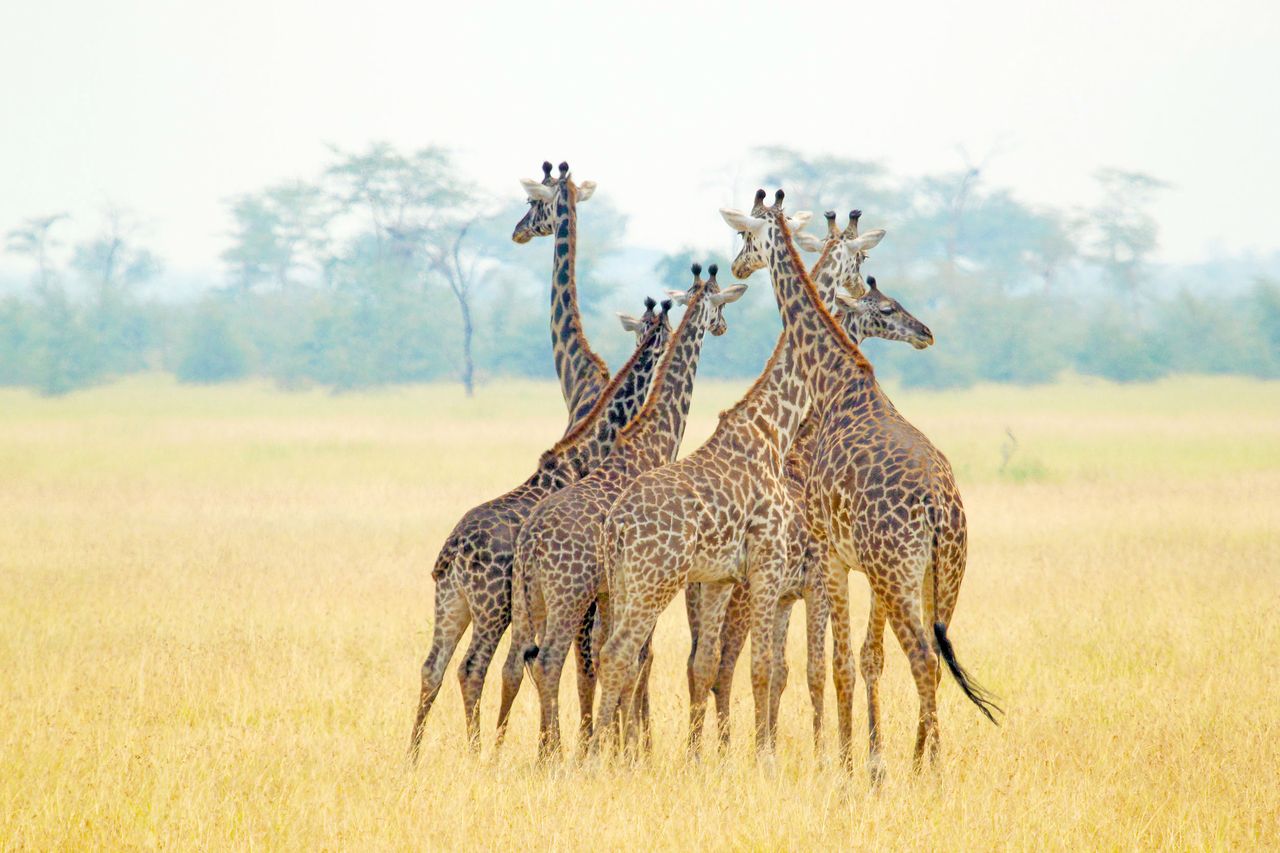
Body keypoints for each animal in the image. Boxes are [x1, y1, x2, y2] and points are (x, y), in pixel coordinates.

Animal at [409, 294, 675, 758]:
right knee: (472, 668)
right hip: (492, 606)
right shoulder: (584, 598)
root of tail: (452, 553)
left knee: (432, 667)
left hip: (452, 602)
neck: (588, 454)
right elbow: (579, 664)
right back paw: (477, 751)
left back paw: (413, 755)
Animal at [494, 261, 747, 758]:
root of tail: (530, 545)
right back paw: (551, 755)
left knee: (515, 663)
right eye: (720, 301)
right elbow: (636, 659)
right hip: (567, 595)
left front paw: (613, 745)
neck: (651, 441)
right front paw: (628, 751)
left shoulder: (613, 593)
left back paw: (498, 751)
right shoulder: (638, 586)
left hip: (529, 599)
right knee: (547, 661)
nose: (724, 327)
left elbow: (616, 659)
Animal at [696, 212, 936, 753]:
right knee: (719, 665)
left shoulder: (796, 590)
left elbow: (793, 671)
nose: (925, 333)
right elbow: (814, 669)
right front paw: (829, 752)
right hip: (739, 595)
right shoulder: (814, 581)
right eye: (886, 306)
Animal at [721, 190, 998, 778]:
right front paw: (867, 759)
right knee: (935, 657)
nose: (736, 267)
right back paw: (921, 762)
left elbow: (841, 662)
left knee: (921, 657)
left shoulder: (831, 551)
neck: (835, 382)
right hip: (943, 575)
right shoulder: (854, 563)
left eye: (744, 235)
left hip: (896, 572)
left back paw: (927, 770)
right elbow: (862, 658)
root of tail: (940, 511)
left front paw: (851, 765)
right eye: (885, 304)